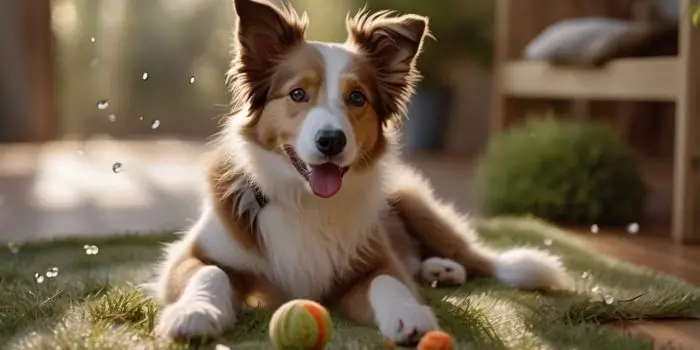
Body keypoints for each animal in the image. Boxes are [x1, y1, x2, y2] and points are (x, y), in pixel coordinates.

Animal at [150, 0, 572, 344]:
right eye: (298, 94)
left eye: (357, 98)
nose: (331, 141)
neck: (304, 199)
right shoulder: (192, 254)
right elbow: (211, 274)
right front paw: (195, 312)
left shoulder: (371, 261)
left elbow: (388, 280)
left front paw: (409, 314)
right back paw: (440, 269)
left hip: (414, 201)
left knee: (477, 257)